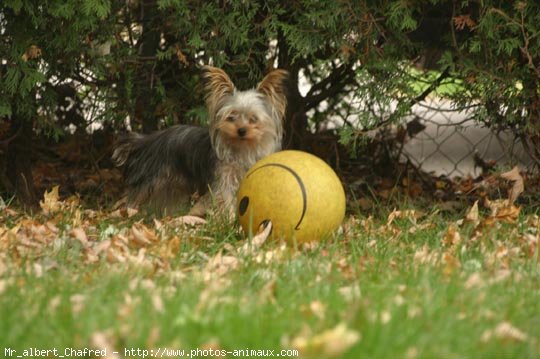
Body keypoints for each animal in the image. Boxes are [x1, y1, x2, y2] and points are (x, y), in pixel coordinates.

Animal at [112, 67, 288, 219]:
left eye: (253, 119)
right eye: (231, 117)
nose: (241, 130)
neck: (242, 148)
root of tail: (150, 139)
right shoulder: (224, 179)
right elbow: (225, 199)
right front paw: (230, 220)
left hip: (173, 186)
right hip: (150, 179)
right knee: (134, 196)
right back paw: (126, 215)